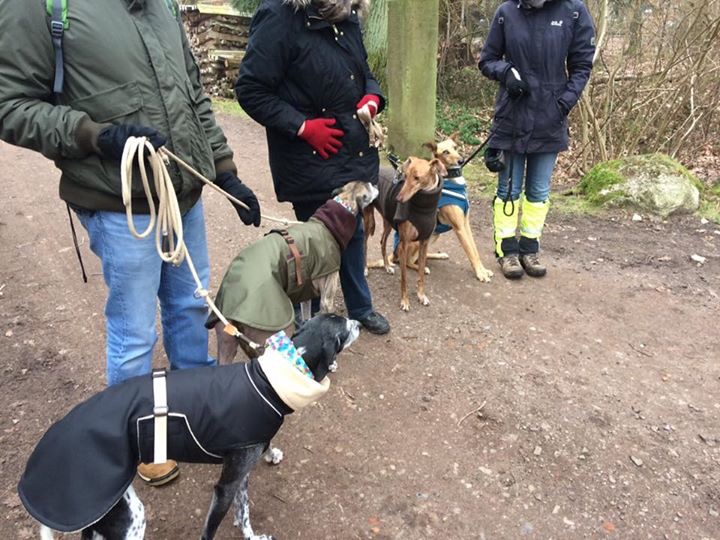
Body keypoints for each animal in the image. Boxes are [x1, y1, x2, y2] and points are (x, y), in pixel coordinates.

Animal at [19, 314, 360, 540]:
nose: (357, 322)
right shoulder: (225, 487)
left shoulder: (239, 474)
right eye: (343, 326)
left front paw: (251, 535)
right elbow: (211, 529)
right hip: (128, 520)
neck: (271, 377)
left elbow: (244, 512)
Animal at [208, 180, 378, 363]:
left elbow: (307, 317)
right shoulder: (327, 298)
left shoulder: (306, 294)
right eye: (369, 185)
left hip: (226, 343)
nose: (376, 184)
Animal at [363, 156, 446, 311]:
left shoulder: (423, 243)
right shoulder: (404, 245)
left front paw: (421, 295)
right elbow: (404, 278)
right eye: (405, 176)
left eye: (417, 178)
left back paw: (387, 266)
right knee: (364, 244)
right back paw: (365, 269)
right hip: (368, 220)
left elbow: (421, 273)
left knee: (382, 242)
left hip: (388, 221)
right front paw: (405, 301)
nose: (398, 199)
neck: (424, 206)